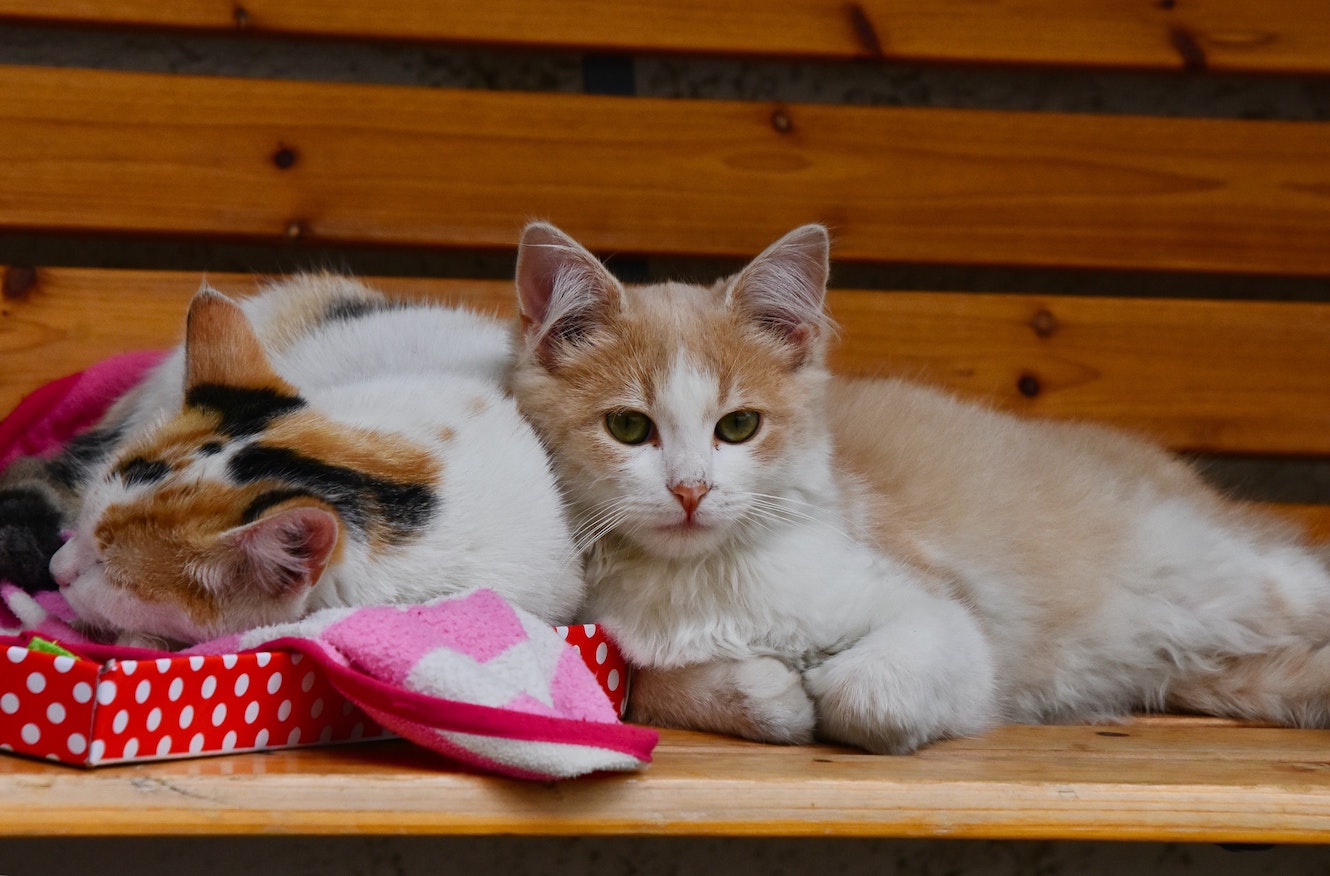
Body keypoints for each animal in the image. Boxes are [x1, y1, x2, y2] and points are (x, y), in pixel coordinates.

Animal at [510, 219, 1330, 755]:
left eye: (738, 426)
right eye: (628, 427)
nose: (689, 491)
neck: (704, 581)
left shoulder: (946, 621)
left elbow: (864, 692)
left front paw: (826, 689)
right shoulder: (625, 648)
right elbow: (670, 687)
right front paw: (771, 693)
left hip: (1237, 575)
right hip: (1219, 673)